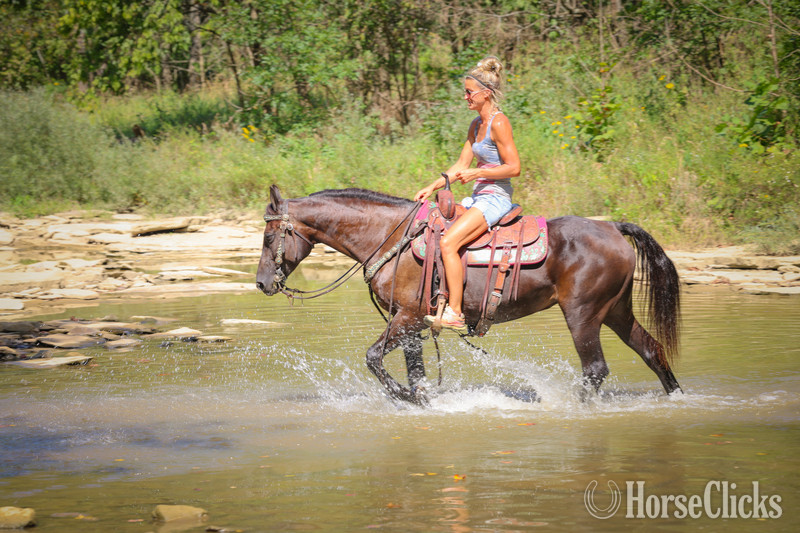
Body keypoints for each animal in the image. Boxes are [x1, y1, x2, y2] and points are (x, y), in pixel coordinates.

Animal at [256, 185, 682, 405]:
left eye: (268, 237)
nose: (261, 283)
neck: (390, 237)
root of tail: (612, 227)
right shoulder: (411, 323)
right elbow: (416, 371)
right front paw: (421, 400)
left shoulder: (408, 317)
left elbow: (374, 358)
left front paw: (406, 398)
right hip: (615, 310)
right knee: (651, 349)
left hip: (583, 314)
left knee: (595, 369)